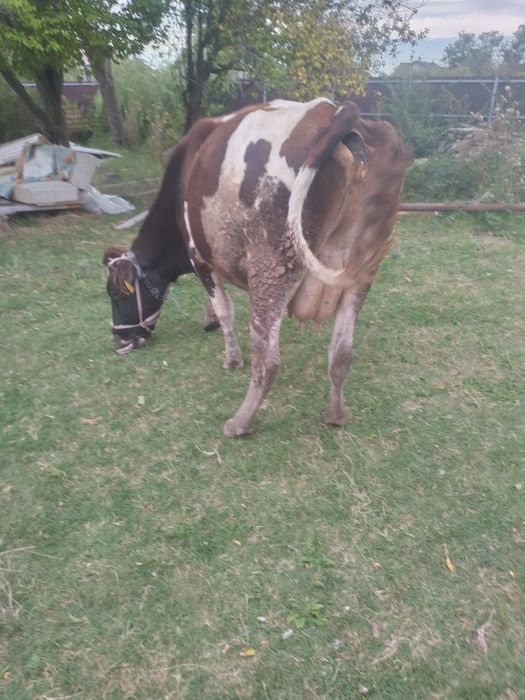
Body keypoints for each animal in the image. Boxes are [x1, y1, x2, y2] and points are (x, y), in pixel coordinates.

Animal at [103, 98, 410, 437]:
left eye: (116, 293)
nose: (120, 338)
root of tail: (337, 112)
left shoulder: (199, 256)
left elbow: (224, 308)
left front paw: (231, 357)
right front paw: (209, 321)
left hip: (272, 264)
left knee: (268, 358)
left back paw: (240, 422)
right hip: (360, 273)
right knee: (342, 352)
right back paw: (335, 414)